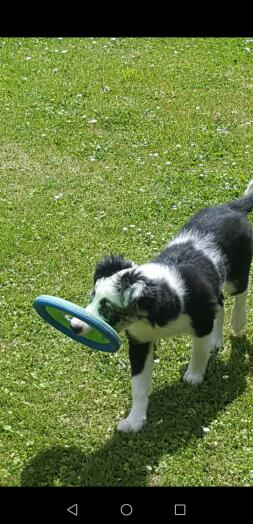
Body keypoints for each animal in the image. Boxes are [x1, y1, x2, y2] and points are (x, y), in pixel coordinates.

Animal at [70, 182, 252, 432]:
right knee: (221, 302)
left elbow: (198, 351)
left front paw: (194, 375)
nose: (74, 326)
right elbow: (139, 385)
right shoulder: (140, 341)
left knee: (240, 292)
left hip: (238, 271)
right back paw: (217, 340)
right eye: (92, 297)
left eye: (108, 309)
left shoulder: (202, 321)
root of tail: (232, 207)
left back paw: (238, 320)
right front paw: (134, 420)